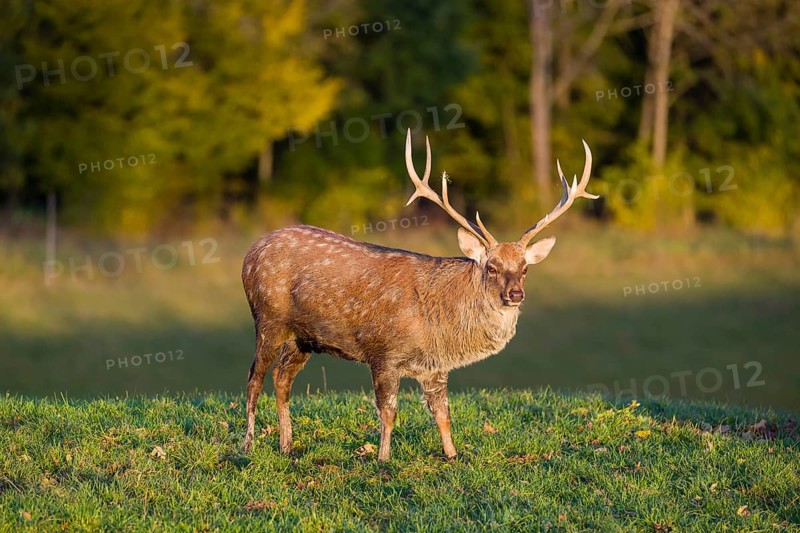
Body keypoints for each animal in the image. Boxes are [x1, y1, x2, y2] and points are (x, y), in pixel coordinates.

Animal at [242, 129, 598, 461]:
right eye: (492, 267)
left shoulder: (435, 366)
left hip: (303, 338)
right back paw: (247, 445)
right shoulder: (383, 353)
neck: (440, 326)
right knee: (254, 379)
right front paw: (384, 458)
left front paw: (452, 455)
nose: (515, 294)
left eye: (525, 268)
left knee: (281, 379)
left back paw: (286, 445)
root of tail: (250, 252)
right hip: (268, 319)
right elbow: (388, 411)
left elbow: (443, 414)